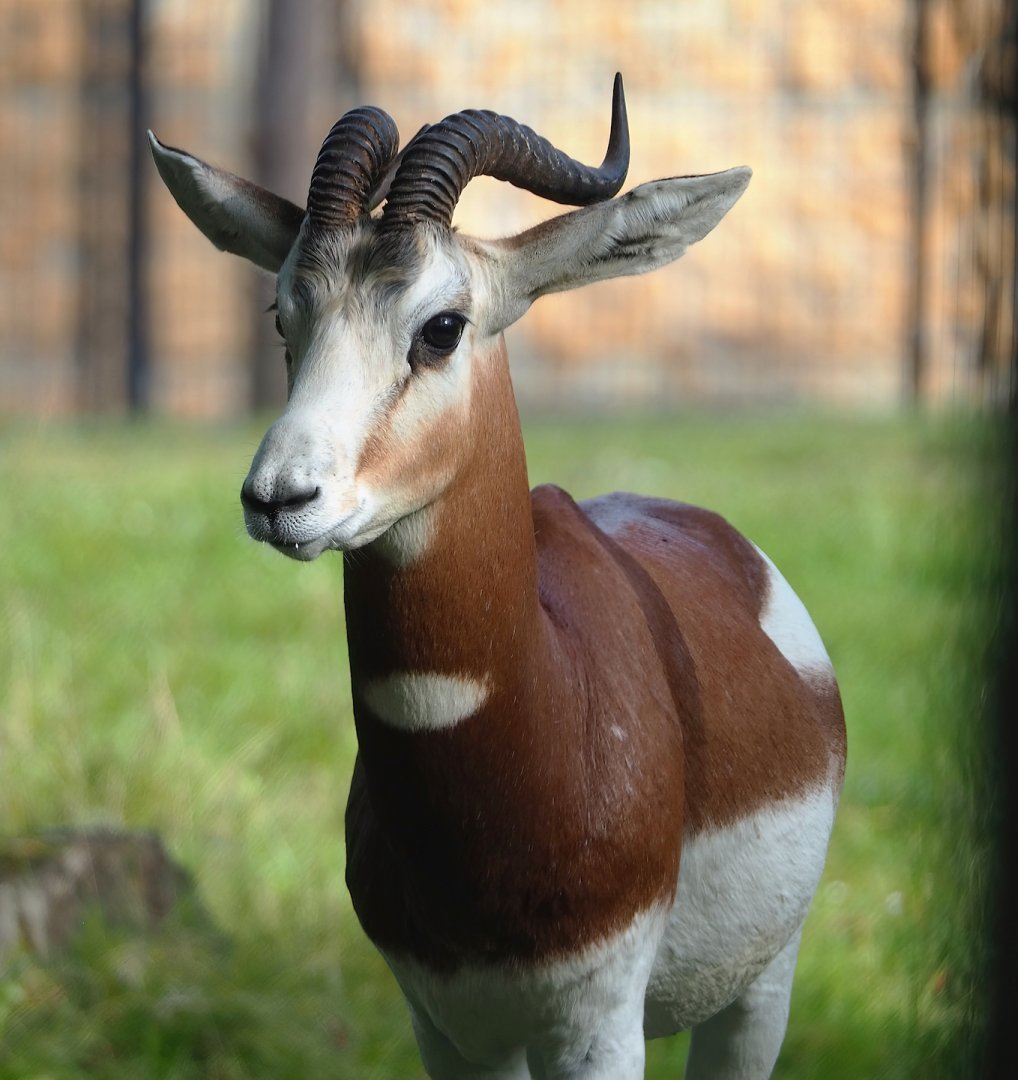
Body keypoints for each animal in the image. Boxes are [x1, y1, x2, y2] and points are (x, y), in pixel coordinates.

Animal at [149, 75, 845, 1079]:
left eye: (441, 327)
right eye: (283, 316)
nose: (280, 498)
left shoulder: (595, 1027)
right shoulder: (446, 1025)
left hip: (760, 990)